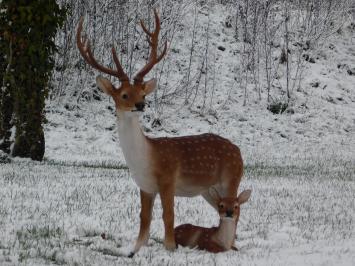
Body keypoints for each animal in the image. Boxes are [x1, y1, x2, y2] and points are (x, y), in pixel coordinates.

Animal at [77, 9, 246, 256]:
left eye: (143, 94)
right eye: (124, 95)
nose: (140, 105)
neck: (145, 158)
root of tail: (239, 151)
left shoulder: (168, 179)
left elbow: (168, 215)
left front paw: (170, 247)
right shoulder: (145, 186)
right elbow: (144, 218)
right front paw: (136, 249)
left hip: (232, 177)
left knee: (238, 207)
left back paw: (229, 245)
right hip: (209, 189)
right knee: (224, 209)